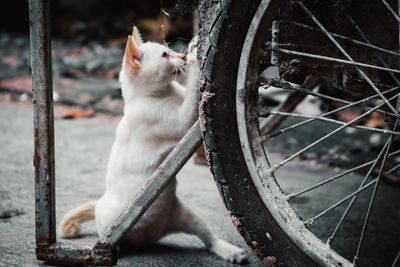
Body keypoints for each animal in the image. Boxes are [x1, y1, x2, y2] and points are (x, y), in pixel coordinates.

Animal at [60, 26, 247, 264]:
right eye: (165, 55)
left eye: (169, 50)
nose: (182, 56)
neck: (156, 95)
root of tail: (150, 238)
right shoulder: (179, 123)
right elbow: (190, 101)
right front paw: (195, 61)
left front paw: (193, 47)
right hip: (109, 218)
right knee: (108, 237)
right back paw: (112, 249)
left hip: (186, 215)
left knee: (208, 237)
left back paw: (230, 251)